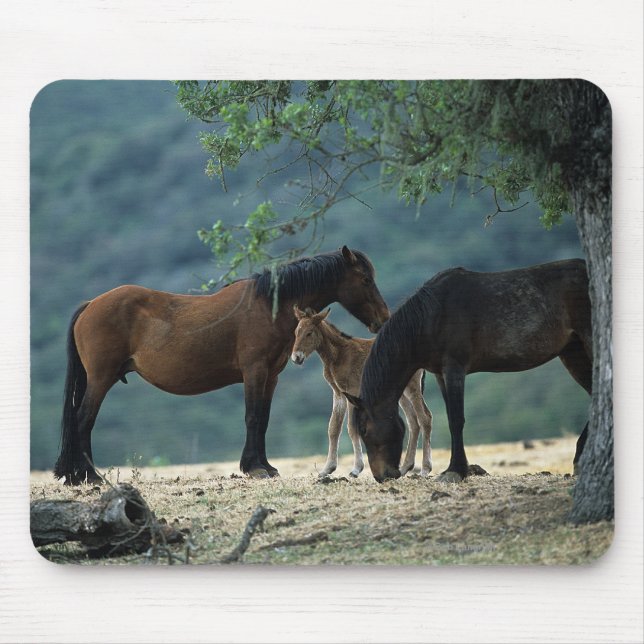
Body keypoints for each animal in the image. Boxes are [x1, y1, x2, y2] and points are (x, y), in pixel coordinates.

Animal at [54, 246, 390, 484]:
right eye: (365, 279)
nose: (383, 320)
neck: (268, 305)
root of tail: (90, 305)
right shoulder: (254, 372)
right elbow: (253, 418)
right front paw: (254, 468)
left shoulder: (271, 377)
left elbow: (263, 419)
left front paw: (265, 465)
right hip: (101, 379)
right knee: (83, 420)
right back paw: (90, 476)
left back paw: (76, 476)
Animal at [290, 306, 433, 478]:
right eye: (296, 332)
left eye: (309, 333)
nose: (296, 358)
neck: (338, 355)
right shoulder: (338, 394)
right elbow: (333, 428)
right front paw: (327, 469)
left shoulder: (352, 391)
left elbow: (352, 428)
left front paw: (356, 469)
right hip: (401, 392)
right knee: (413, 421)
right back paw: (405, 468)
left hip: (412, 387)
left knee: (425, 417)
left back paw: (425, 469)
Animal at [344, 259, 592, 483]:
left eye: (364, 429)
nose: (382, 476)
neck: (432, 316)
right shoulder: (440, 374)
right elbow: (450, 417)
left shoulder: (455, 369)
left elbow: (456, 419)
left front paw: (455, 470)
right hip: (573, 353)